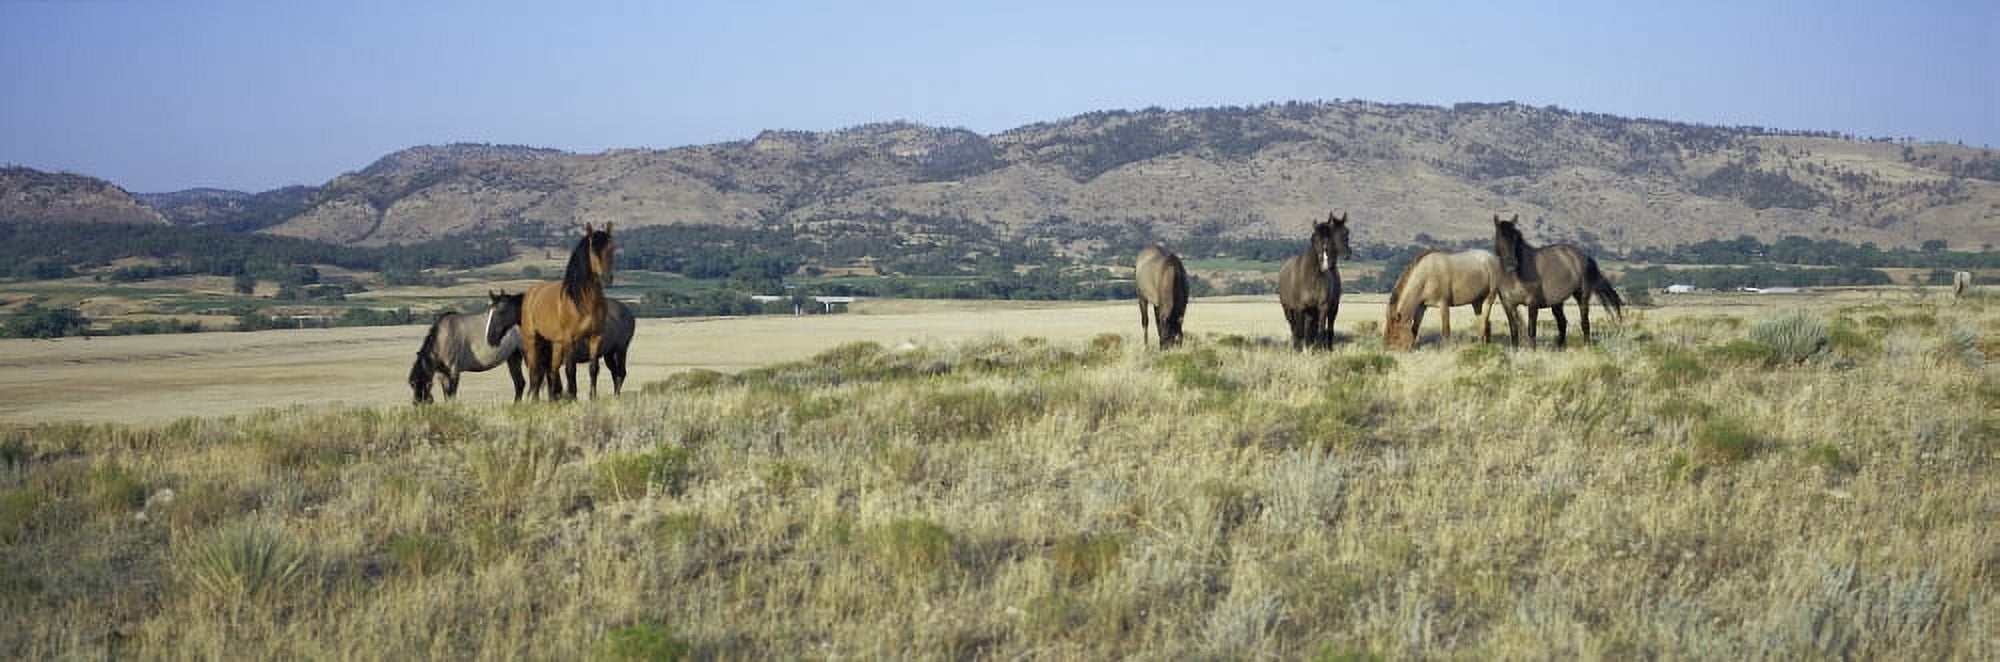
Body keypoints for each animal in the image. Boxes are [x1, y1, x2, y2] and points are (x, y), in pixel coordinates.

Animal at [519, 223, 615, 400]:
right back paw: (534, 400)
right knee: (536, 372)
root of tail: (532, 292)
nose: (606, 279)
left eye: (612, 248)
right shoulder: (571, 339)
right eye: (592, 250)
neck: (584, 301)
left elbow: (593, 368)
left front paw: (593, 397)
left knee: (552, 370)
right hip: (532, 340)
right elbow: (571, 369)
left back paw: (552, 400)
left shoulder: (596, 336)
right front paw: (573, 397)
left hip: (556, 343)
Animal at [1277, 212, 1353, 351]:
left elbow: (1321, 329)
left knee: (1323, 328)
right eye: (1314, 238)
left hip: (1325, 310)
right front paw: (1300, 350)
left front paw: (1318, 348)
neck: (1312, 277)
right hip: (1289, 310)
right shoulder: (1300, 308)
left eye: (1346, 232)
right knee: (1294, 328)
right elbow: (1300, 331)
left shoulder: (1323, 307)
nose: (1347, 254)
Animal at [1489, 214, 1624, 349]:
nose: (1512, 264)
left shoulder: (1532, 304)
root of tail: (1584, 256)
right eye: (1500, 237)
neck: (1515, 277)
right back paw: (1561, 348)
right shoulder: (1508, 305)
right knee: (1562, 323)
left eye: (1516, 238)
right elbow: (1514, 331)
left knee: (1584, 323)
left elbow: (1531, 330)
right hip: (1557, 303)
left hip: (1582, 298)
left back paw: (1586, 346)